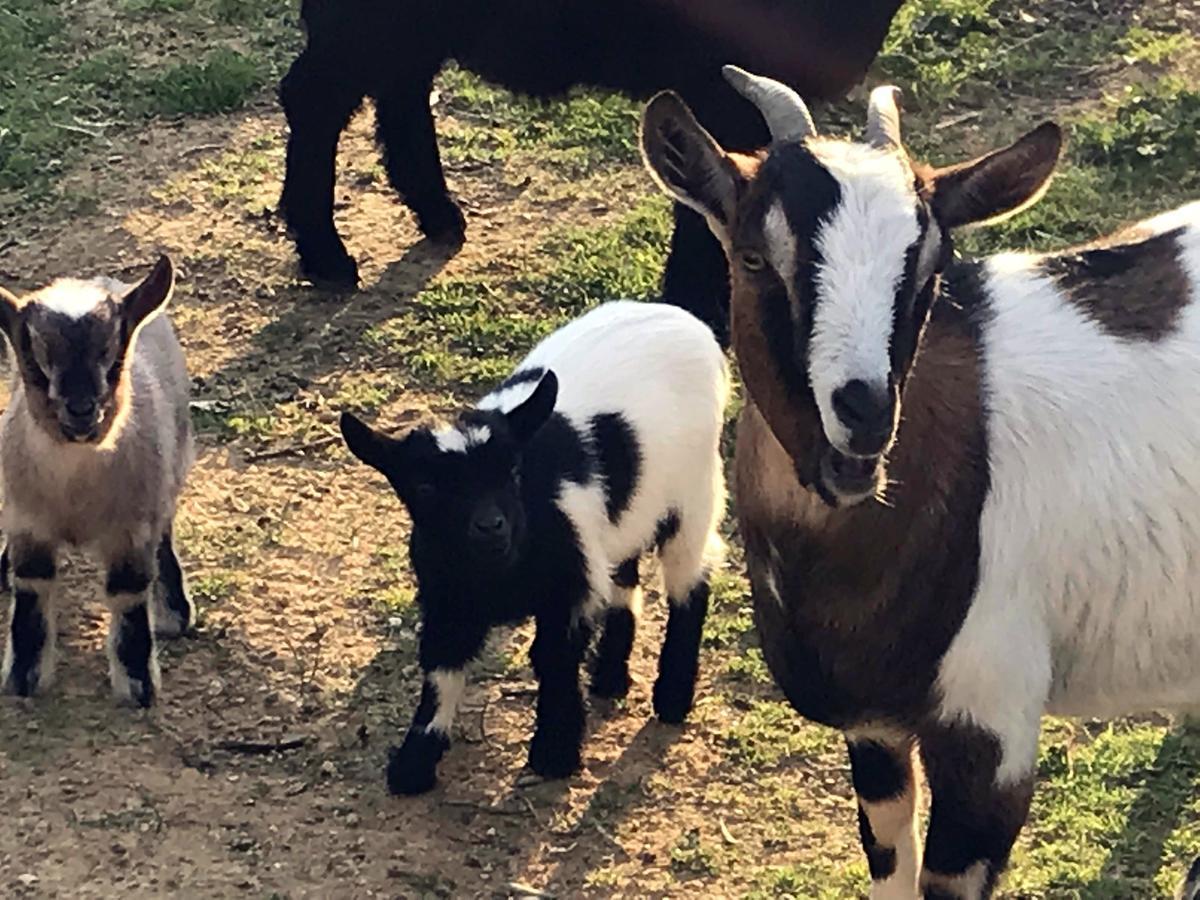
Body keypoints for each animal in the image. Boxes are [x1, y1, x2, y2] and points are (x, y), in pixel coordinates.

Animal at [278, 0, 902, 340]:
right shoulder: (725, 85)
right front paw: (698, 316)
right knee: (314, 98)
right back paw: (325, 253)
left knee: (399, 92)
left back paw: (436, 214)